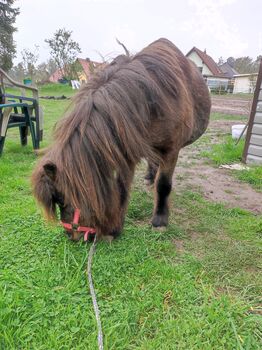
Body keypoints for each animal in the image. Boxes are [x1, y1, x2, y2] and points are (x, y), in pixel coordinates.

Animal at [31, 38, 211, 241]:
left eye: (62, 199)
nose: (71, 235)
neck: (152, 101)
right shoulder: (127, 151)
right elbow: (122, 186)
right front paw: (115, 227)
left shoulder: (171, 150)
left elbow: (164, 185)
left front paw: (159, 221)